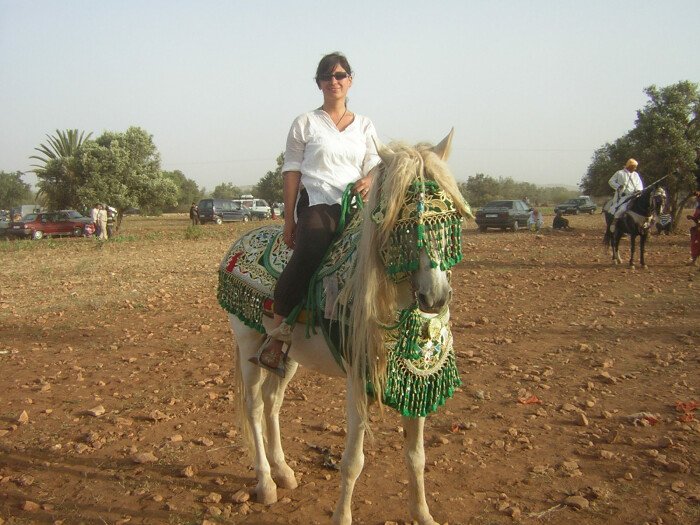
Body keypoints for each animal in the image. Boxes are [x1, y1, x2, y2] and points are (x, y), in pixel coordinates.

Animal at [219, 131, 470, 524]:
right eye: (402, 222)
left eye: (449, 219)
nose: (435, 298)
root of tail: (238, 243)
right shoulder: (358, 379)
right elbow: (353, 461)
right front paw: (342, 516)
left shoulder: (418, 384)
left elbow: (416, 456)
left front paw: (423, 514)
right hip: (247, 342)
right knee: (254, 406)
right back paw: (266, 483)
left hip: (288, 355)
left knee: (273, 402)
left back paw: (284, 472)